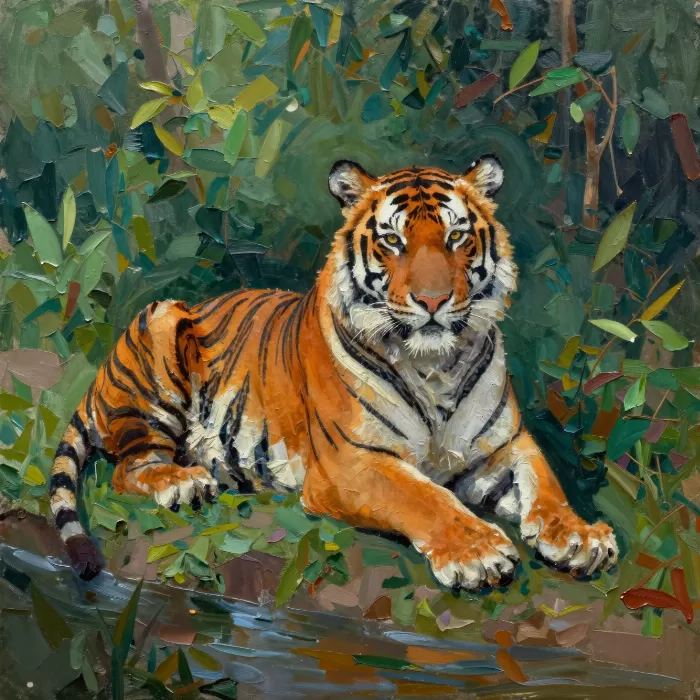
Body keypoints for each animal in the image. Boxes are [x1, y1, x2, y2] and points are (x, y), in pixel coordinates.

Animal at [50, 156, 618, 587]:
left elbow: (546, 484)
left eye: (457, 237)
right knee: (129, 466)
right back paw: (184, 482)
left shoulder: (505, 445)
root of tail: (97, 383)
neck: (435, 365)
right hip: (161, 326)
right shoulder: (352, 462)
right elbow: (425, 497)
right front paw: (477, 552)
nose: (432, 300)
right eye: (393, 241)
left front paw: (579, 536)